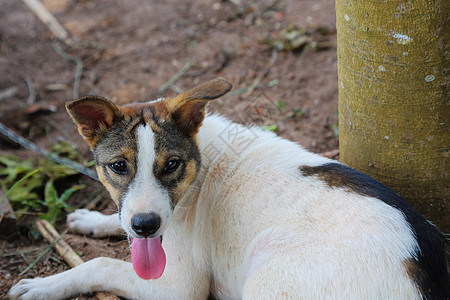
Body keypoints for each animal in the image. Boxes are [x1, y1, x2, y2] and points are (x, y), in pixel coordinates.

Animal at [8, 78, 448, 300]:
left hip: (271, 279)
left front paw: (43, 286)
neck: (200, 165)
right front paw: (91, 219)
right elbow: (118, 222)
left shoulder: (177, 285)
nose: (147, 226)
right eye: (118, 166)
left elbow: (98, 263)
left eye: (171, 165)